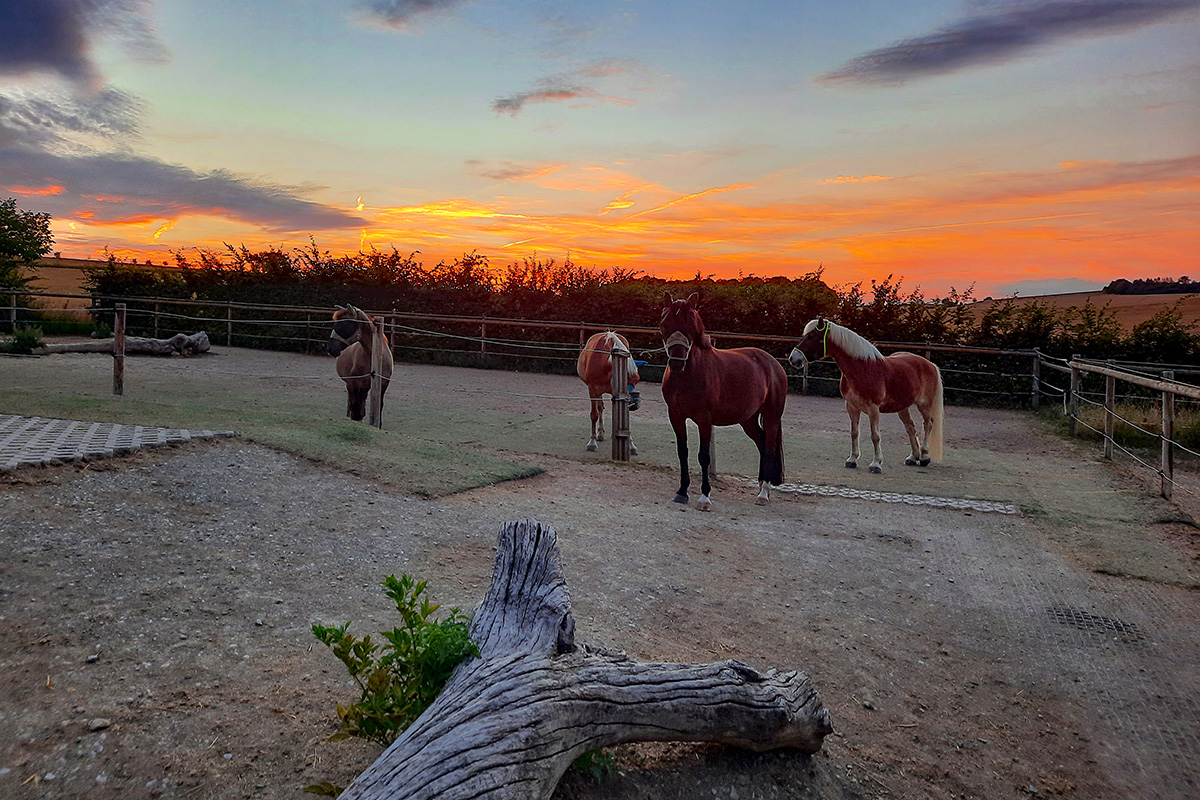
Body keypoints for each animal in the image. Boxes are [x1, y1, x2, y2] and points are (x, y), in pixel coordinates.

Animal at [657, 293, 787, 513]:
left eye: (691, 323)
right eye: (664, 324)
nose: (676, 363)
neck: (688, 376)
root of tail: (773, 363)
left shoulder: (704, 420)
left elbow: (704, 456)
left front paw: (704, 498)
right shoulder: (676, 416)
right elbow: (683, 452)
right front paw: (682, 492)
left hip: (771, 416)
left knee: (769, 446)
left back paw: (763, 493)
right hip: (748, 420)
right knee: (761, 442)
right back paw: (762, 484)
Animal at [787, 316, 945, 472]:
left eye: (811, 337)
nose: (793, 358)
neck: (862, 369)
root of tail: (930, 364)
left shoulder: (873, 408)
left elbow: (875, 435)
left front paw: (876, 463)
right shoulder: (852, 407)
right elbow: (854, 433)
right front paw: (852, 460)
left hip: (924, 405)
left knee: (928, 424)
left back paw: (924, 457)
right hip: (902, 407)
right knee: (910, 427)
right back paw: (913, 457)